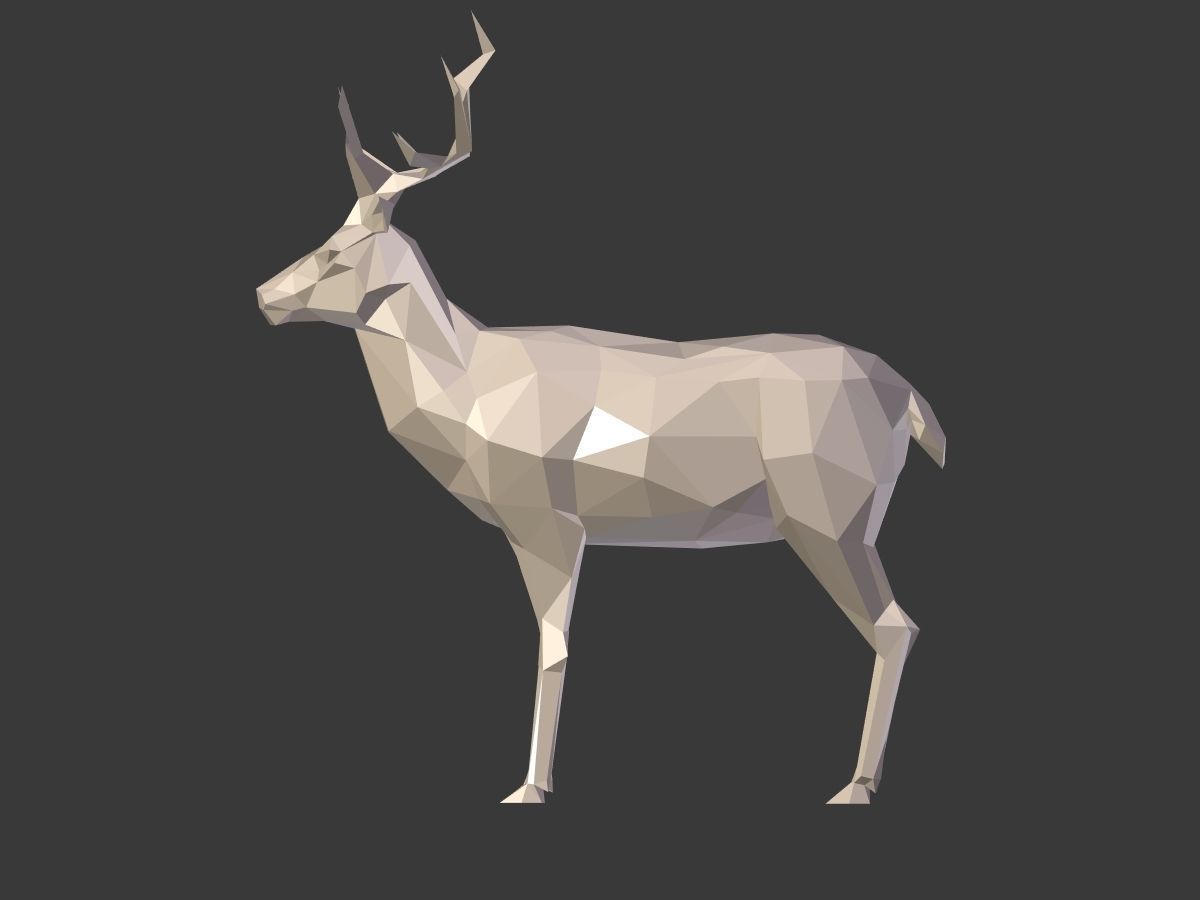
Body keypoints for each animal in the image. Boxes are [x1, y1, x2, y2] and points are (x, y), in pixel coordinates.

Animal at [256, 16, 946, 805]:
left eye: (339, 255)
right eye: (322, 236)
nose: (264, 296)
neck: (470, 387)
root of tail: (910, 400)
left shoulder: (547, 519)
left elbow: (553, 645)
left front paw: (530, 788)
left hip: (833, 518)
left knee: (896, 626)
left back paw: (855, 786)